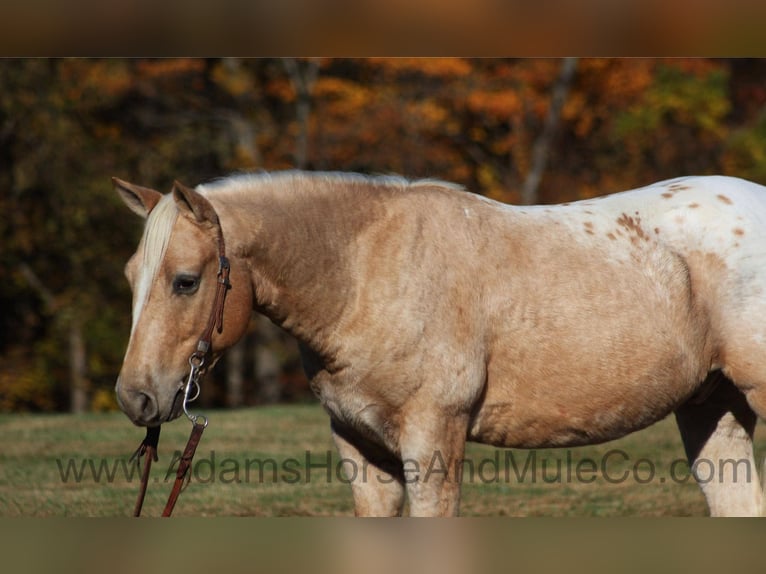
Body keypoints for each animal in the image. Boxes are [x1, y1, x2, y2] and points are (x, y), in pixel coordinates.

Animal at [112, 171, 766, 516]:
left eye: (185, 280)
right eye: (130, 275)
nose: (134, 398)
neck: (366, 273)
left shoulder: (433, 441)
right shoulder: (361, 449)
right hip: (713, 409)